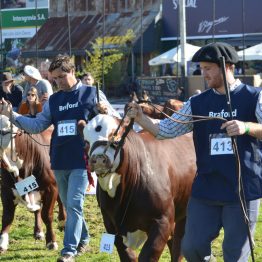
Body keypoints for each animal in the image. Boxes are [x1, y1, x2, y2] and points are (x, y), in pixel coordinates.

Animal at [0, 115, 65, 253]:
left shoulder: (51, 188)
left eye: (5, 131)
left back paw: (63, 222)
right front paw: (2, 243)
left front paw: (51, 241)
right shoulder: (6, 189)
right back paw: (38, 232)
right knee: (38, 210)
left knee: (62, 201)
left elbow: (47, 215)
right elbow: (7, 216)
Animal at [81, 114, 195, 262]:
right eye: (85, 142)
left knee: (178, 245)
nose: (99, 158)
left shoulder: (162, 220)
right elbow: (128, 256)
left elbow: (147, 255)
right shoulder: (110, 223)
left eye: (115, 135)